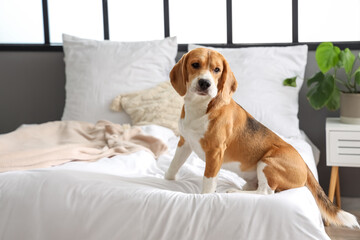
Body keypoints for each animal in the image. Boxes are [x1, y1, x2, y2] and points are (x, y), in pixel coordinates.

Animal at [165, 47, 358, 229]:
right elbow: (174, 165)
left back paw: (235, 192)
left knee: (265, 192)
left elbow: (208, 180)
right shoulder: (184, 142)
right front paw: (166, 180)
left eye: (217, 69)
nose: (205, 83)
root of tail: (304, 164)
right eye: (195, 64)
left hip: (267, 162)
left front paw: (204, 197)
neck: (200, 107)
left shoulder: (215, 152)